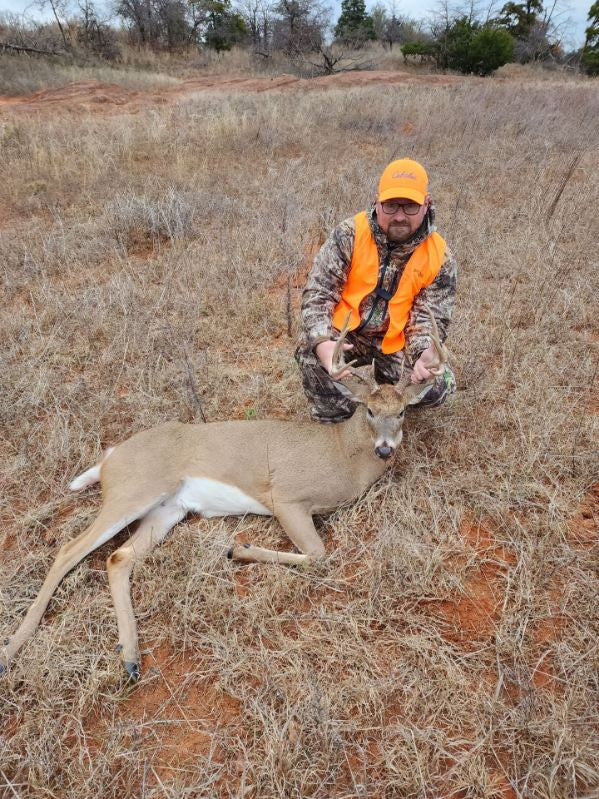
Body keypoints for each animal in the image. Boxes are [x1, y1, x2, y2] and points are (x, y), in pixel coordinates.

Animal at [1, 309, 450, 681]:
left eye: (402, 412)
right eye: (370, 411)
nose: (386, 449)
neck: (342, 454)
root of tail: (111, 457)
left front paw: (238, 549)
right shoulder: (286, 496)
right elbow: (318, 555)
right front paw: (239, 548)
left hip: (167, 510)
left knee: (118, 558)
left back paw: (130, 658)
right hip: (137, 489)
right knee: (69, 550)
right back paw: (12, 651)